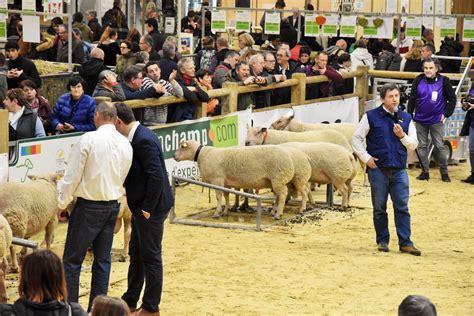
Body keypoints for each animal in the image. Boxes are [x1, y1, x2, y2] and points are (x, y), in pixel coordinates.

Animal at [174, 141, 304, 220]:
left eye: (181, 147)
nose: (174, 157)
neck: (202, 154)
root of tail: (289, 157)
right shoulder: (225, 183)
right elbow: (226, 196)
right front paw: (225, 211)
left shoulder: (217, 180)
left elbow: (218, 197)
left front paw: (217, 213)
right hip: (276, 180)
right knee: (278, 196)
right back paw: (274, 212)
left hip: (278, 179)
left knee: (282, 195)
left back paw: (278, 214)